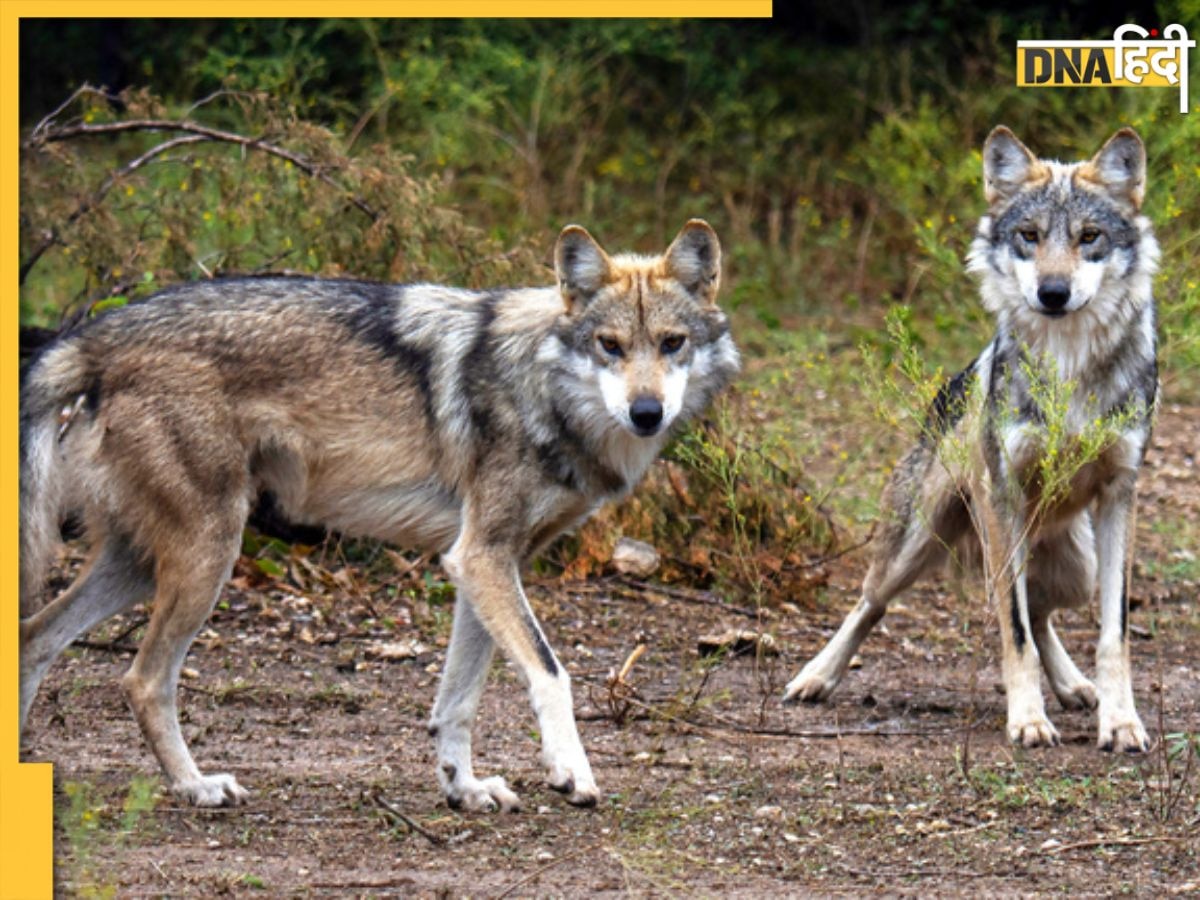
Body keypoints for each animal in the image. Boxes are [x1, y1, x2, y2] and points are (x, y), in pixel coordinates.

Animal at [18, 218, 739, 811]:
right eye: (610, 346)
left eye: (671, 343)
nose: (646, 413)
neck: (539, 384)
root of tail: (93, 336)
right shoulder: (482, 556)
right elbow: (550, 673)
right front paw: (572, 773)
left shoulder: (483, 563)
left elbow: (457, 702)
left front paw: (465, 790)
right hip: (207, 555)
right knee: (142, 679)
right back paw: (195, 786)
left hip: (144, 564)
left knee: (33, 637)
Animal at [782, 130, 1156, 758]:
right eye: (1029, 235)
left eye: (1089, 237)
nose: (1053, 293)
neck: (1068, 361)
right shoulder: (1001, 496)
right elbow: (1013, 629)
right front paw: (1028, 721)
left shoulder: (1119, 496)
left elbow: (1112, 636)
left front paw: (1122, 722)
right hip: (920, 543)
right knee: (872, 602)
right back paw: (816, 676)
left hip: (1076, 566)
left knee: (1040, 608)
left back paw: (1075, 687)